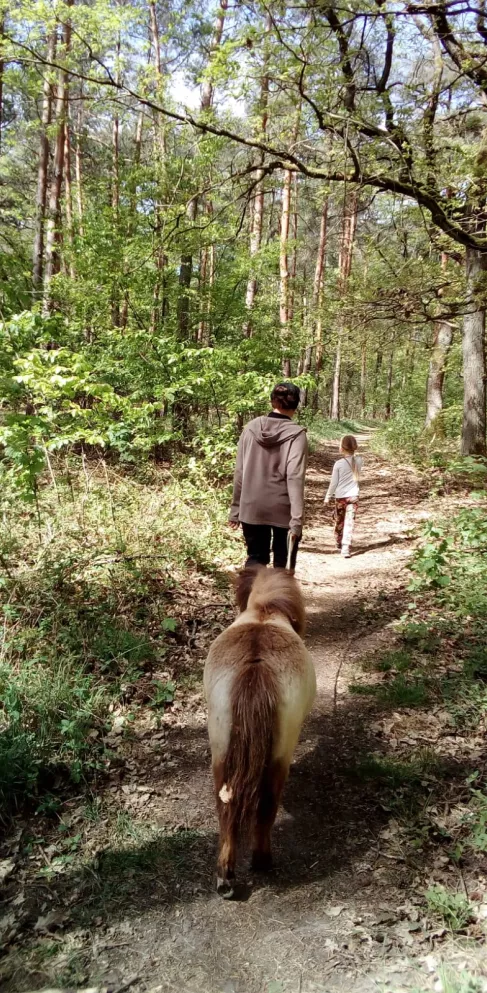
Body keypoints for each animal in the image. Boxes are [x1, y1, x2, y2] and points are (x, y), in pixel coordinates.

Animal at [203, 564, 314, 900]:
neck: (264, 612)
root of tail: (256, 668)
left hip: (221, 749)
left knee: (225, 805)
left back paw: (225, 878)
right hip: (279, 756)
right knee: (267, 803)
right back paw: (262, 860)